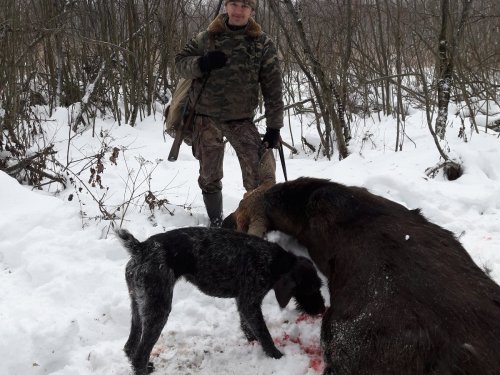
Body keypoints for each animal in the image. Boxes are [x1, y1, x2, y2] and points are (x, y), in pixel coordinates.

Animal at [115, 226, 326, 375]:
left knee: (129, 347)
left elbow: (248, 327)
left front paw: (253, 342)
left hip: (139, 305)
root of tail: (141, 248)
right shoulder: (250, 302)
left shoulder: (244, 302)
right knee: (139, 356)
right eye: (311, 289)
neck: (274, 261)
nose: (322, 309)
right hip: (158, 310)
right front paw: (276, 356)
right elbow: (265, 335)